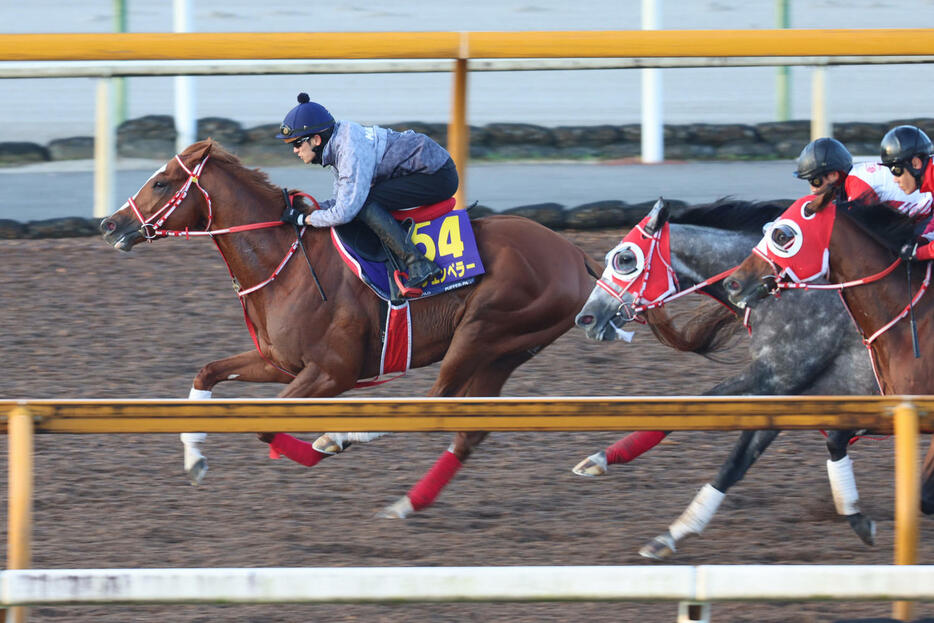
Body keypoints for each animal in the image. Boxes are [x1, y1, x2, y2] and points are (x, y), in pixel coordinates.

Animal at [98, 140, 604, 516]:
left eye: (161, 182)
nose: (109, 223)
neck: (285, 261)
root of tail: (574, 253)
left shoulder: (333, 372)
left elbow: (265, 425)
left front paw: (312, 446)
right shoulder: (280, 362)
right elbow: (206, 372)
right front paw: (196, 459)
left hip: (484, 329)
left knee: (432, 404)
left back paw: (339, 439)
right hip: (505, 352)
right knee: (467, 429)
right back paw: (405, 504)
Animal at [576, 201, 880, 560]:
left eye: (625, 259)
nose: (585, 318)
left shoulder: (777, 374)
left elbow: (720, 438)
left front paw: (674, 531)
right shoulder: (789, 391)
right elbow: (728, 449)